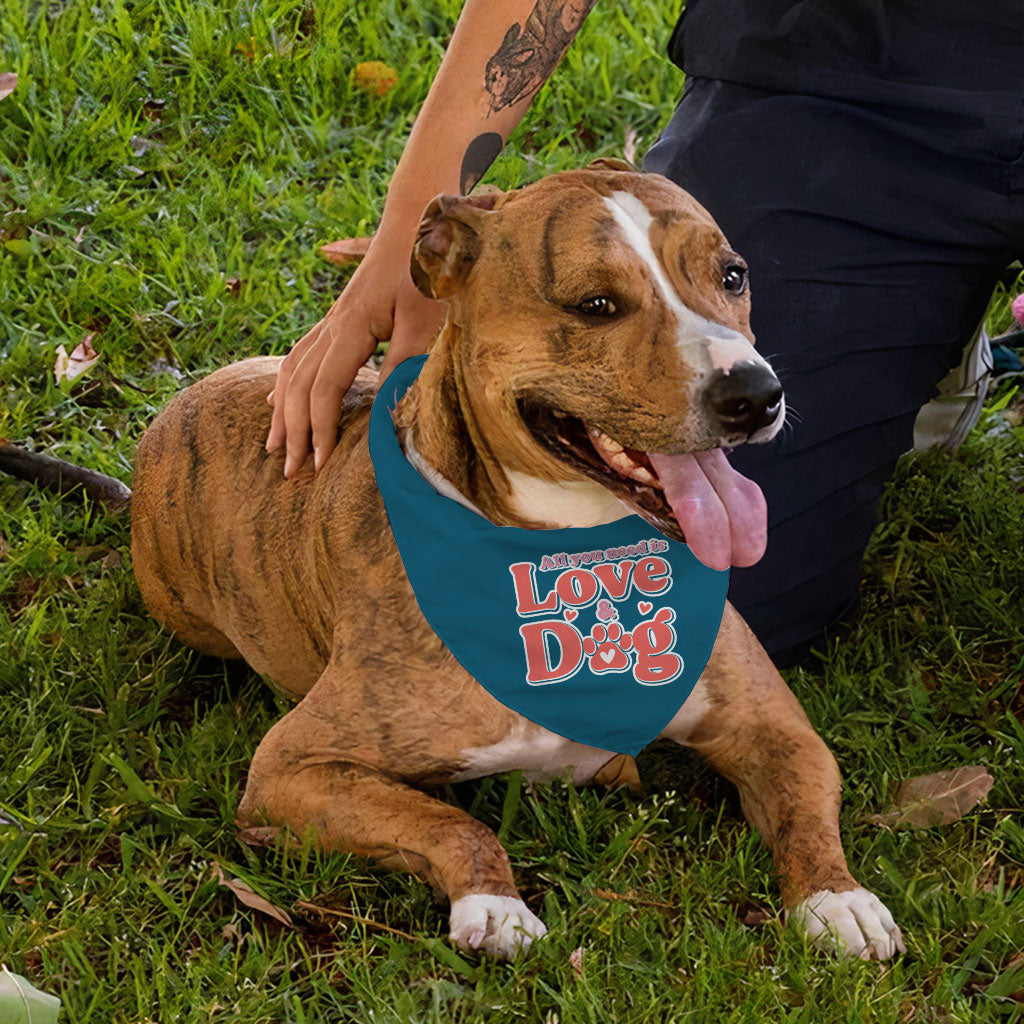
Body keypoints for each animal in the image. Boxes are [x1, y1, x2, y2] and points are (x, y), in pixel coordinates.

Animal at [121, 159, 905, 958]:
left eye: (733, 275)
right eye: (596, 305)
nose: (756, 393)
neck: (579, 565)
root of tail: (184, 398)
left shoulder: (774, 728)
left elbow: (806, 807)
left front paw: (837, 897)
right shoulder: (293, 766)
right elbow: (451, 821)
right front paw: (493, 904)